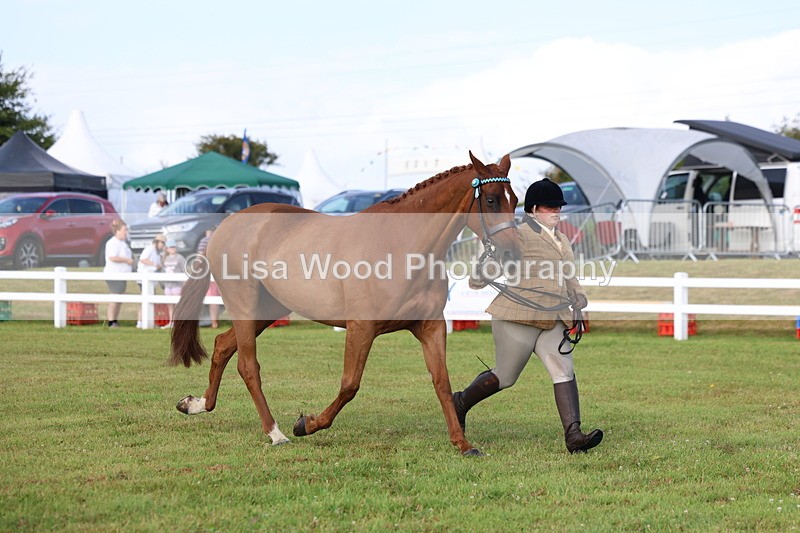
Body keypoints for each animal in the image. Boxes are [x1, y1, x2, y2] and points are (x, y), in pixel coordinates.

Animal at [168, 151, 521, 456]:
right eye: (491, 200)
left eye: (515, 200)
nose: (512, 254)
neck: (402, 247)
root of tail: (225, 226)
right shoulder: (361, 328)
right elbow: (350, 385)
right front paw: (306, 424)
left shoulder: (430, 327)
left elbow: (442, 382)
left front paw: (463, 444)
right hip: (245, 306)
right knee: (247, 366)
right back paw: (276, 433)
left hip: (268, 310)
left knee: (222, 345)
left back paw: (196, 404)